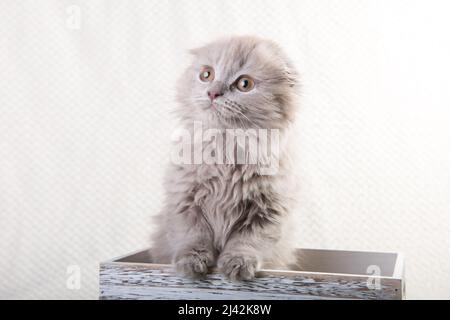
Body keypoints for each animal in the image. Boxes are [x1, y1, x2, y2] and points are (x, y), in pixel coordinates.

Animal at [153, 35, 300, 280]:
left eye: (244, 84)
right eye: (207, 75)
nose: (213, 92)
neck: (225, 148)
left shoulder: (267, 212)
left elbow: (247, 242)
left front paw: (238, 266)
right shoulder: (185, 202)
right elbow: (193, 237)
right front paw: (191, 264)